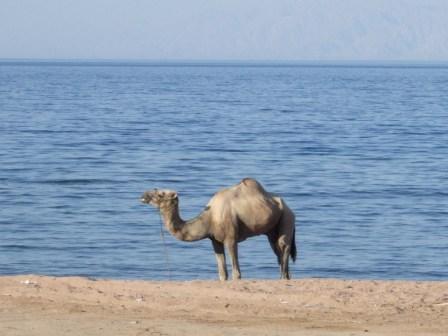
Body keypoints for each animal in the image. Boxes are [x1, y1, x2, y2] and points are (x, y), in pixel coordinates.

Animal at [140, 178, 294, 280]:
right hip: (272, 230)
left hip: (286, 218)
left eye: (161, 194)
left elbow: (236, 273)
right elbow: (222, 273)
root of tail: (288, 207)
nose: (143, 195)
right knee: (277, 251)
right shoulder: (215, 240)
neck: (210, 218)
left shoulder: (231, 239)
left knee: (284, 247)